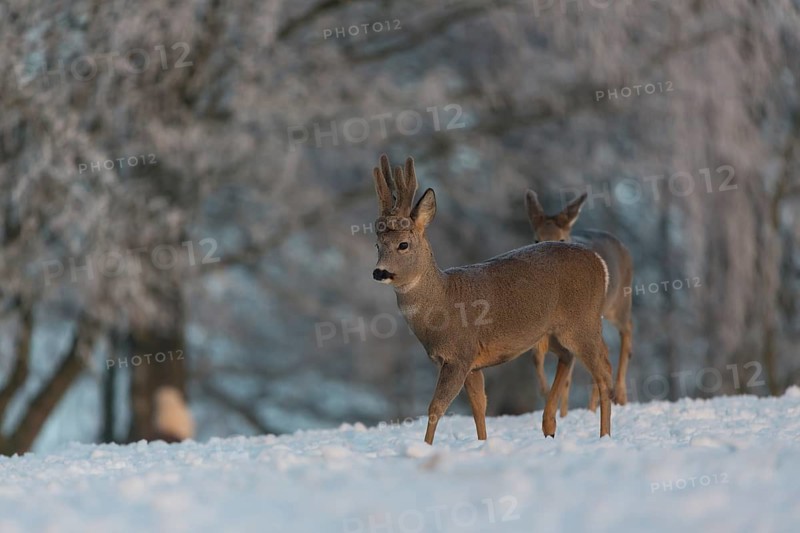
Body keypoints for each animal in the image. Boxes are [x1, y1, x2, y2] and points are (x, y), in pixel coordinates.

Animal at [371, 154, 614, 444]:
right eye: (377, 245)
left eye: (403, 244)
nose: (379, 272)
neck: (443, 301)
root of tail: (600, 263)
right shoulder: (473, 364)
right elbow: (479, 406)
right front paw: (482, 444)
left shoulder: (460, 354)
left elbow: (435, 408)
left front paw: (427, 446)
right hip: (554, 332)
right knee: (568, 357)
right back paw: (549, 426)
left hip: (582, 321)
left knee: (603, 372)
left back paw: (604, 436)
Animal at [525, 190, 633, 418]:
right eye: (536, 239)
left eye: (561, 238)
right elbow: (537, 356)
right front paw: (550, 398)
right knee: (603, 350)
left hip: (618, 302)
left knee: (627, 331)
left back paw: (619, 396)